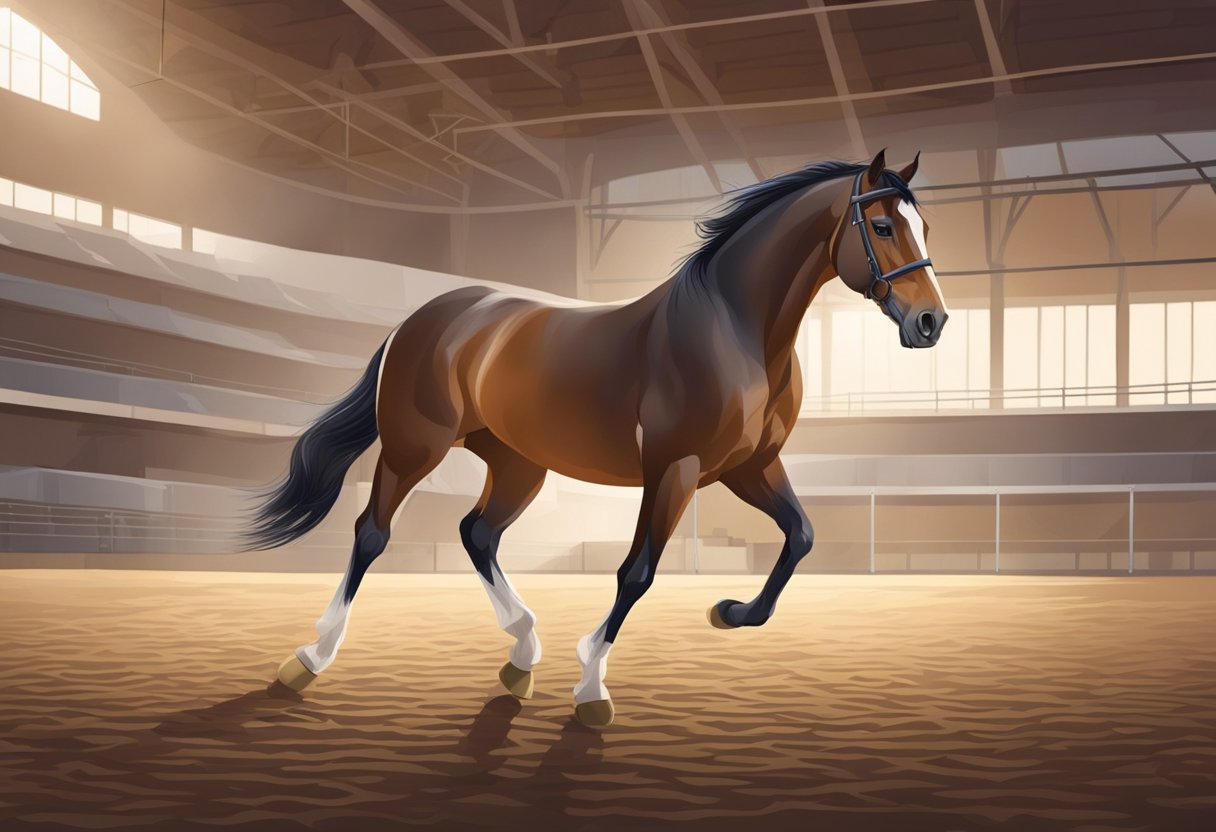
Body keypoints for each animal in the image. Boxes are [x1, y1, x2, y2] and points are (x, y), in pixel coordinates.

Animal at [246, 149, 948, 729]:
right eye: (881, 226)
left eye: (925, 227)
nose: (930, 322)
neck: (734, 329)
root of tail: (421, 319)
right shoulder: (675, 467)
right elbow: (637, 571)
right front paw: (591, 689)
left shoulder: (750, 466)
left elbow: (800, 535)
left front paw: (730, 612)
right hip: (415, 446)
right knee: (372, 532)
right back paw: (309, 659)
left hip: (519, 463)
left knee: (478, 533)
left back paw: (522, 656)